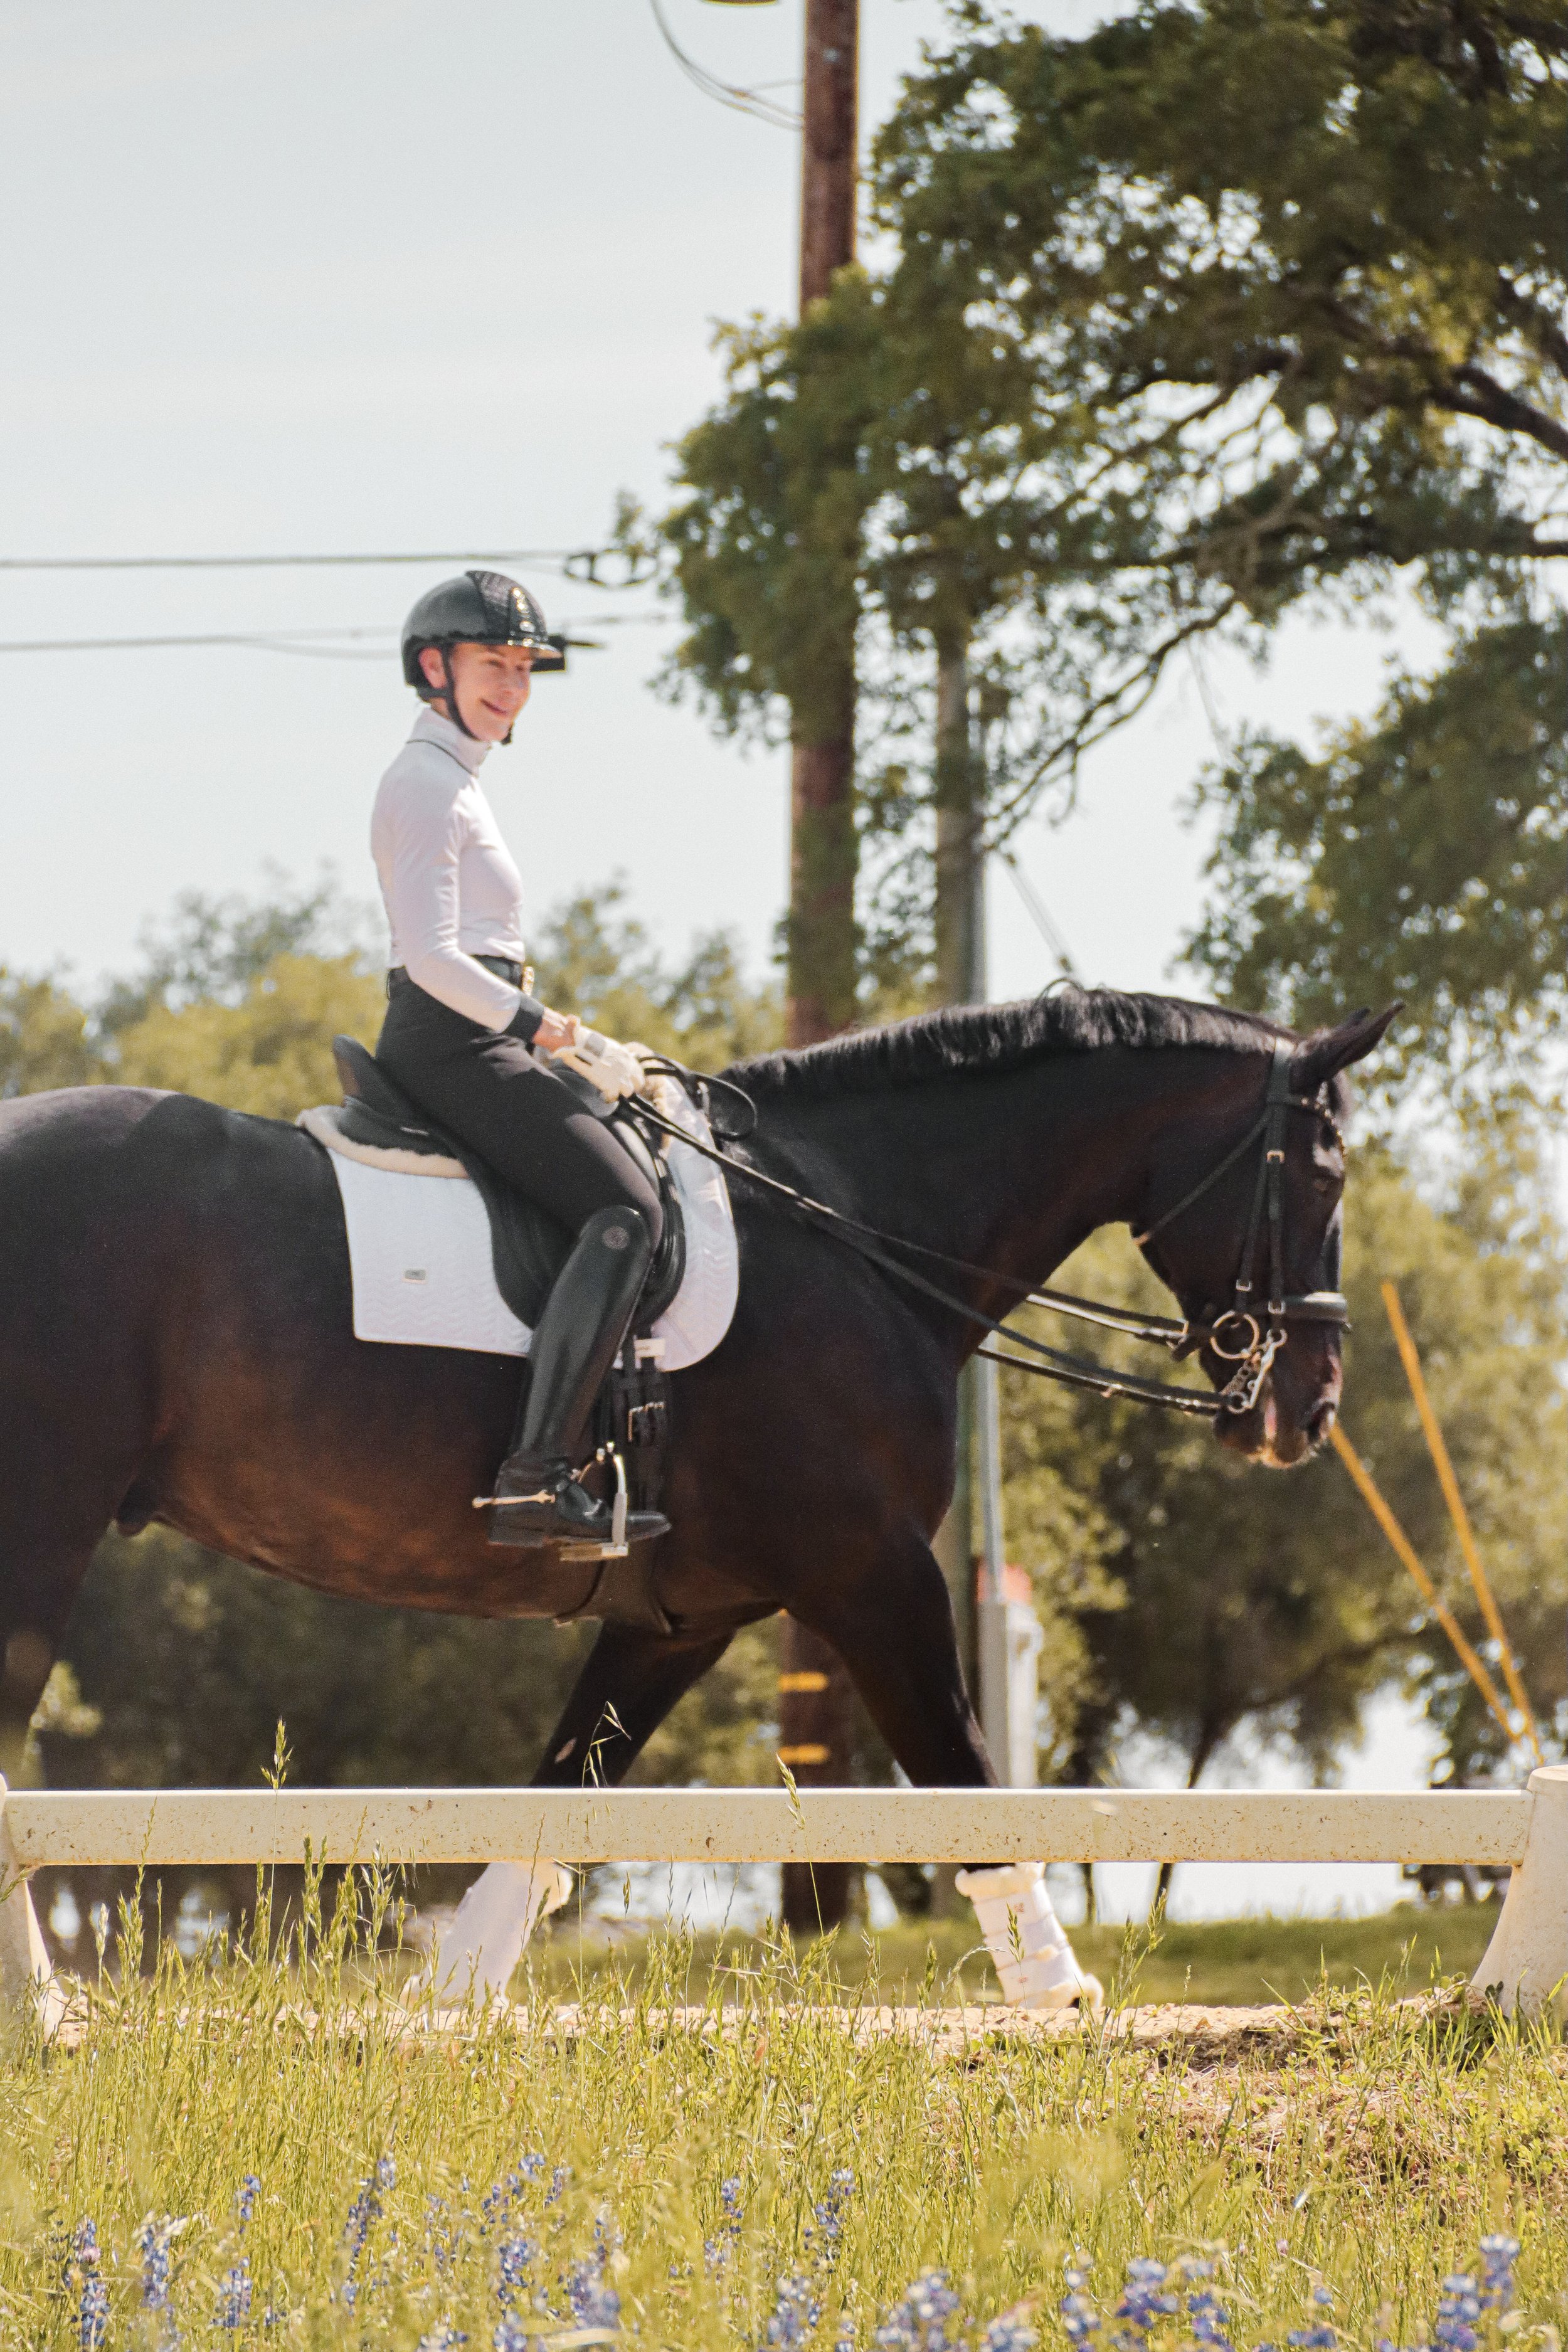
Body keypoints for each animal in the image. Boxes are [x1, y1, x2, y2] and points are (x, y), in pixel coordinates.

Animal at [0, 986, 1391, 1991]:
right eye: (1324, 1172)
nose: (1307, 1407)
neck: (856, 1238)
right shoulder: (874, 1571)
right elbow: (964, 1766)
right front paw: (1059, 1991)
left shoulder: (682, 1615)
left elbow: (564, 1793)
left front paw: (449, 1998)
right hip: (41, 1534)